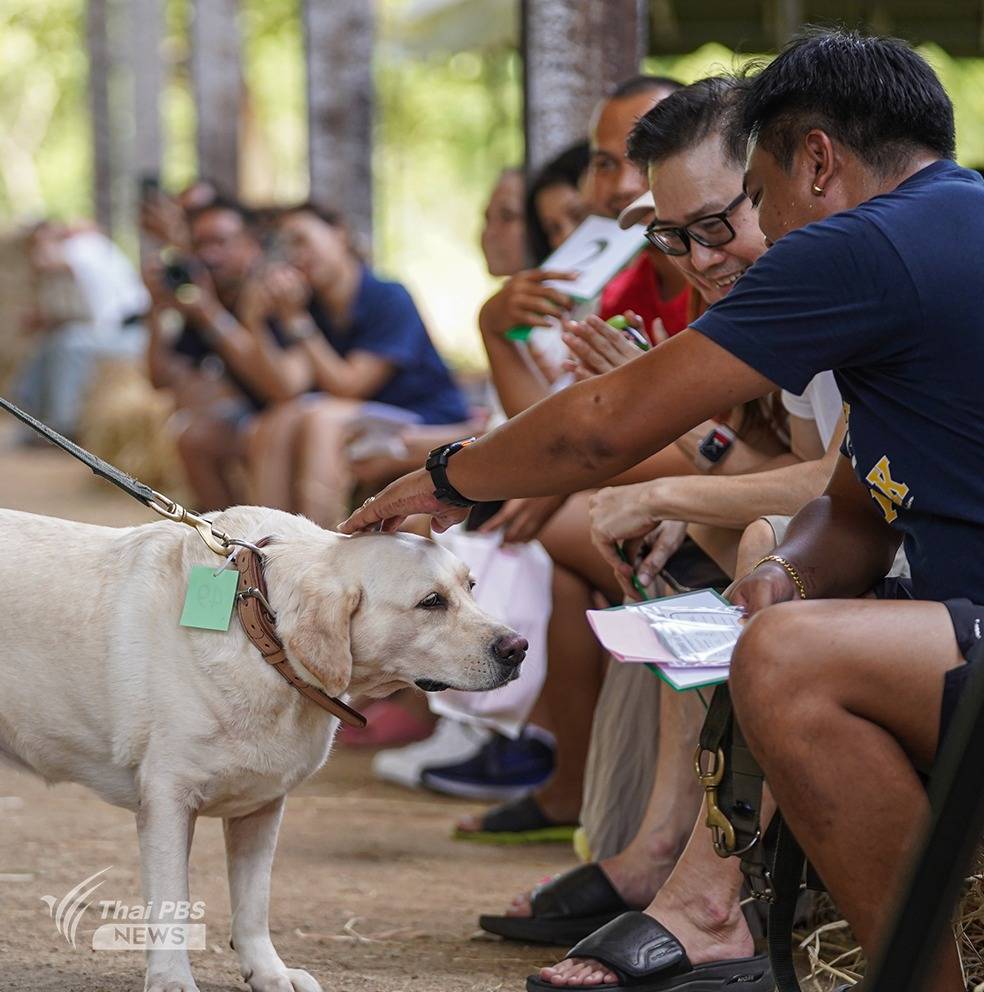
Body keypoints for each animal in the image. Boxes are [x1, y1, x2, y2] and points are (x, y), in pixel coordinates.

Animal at [0, 508, 528, 988]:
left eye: (471, 586)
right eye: (431, 601)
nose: (518, 647)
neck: (262, 633)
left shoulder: (263, 805)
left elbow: (253, 903)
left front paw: (268, 973)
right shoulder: (167, 799)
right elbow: (173, 904)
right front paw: (172, 981)